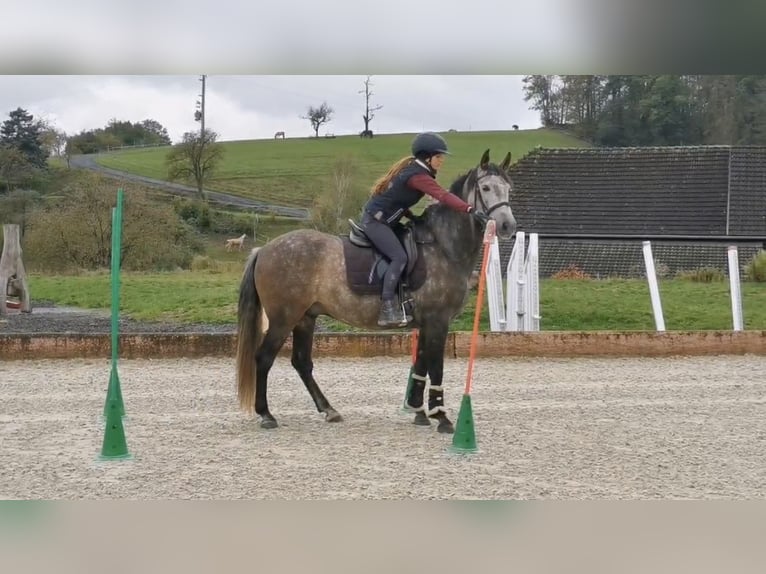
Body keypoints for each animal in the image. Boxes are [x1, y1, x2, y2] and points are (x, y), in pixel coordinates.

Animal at [237, 151, 520, 434]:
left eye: (509, 188)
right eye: (486, 188)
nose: (507, 226)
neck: (443, 246)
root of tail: (264, 249)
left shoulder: (426, 323)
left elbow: (421, 364)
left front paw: (418, 412)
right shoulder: (438, 321)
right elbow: (436, 368)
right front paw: (441, 417)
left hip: (306, 317)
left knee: (301, 362)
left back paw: (329, 410)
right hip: (284, 318)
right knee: (264, 358)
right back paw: (266, 414)